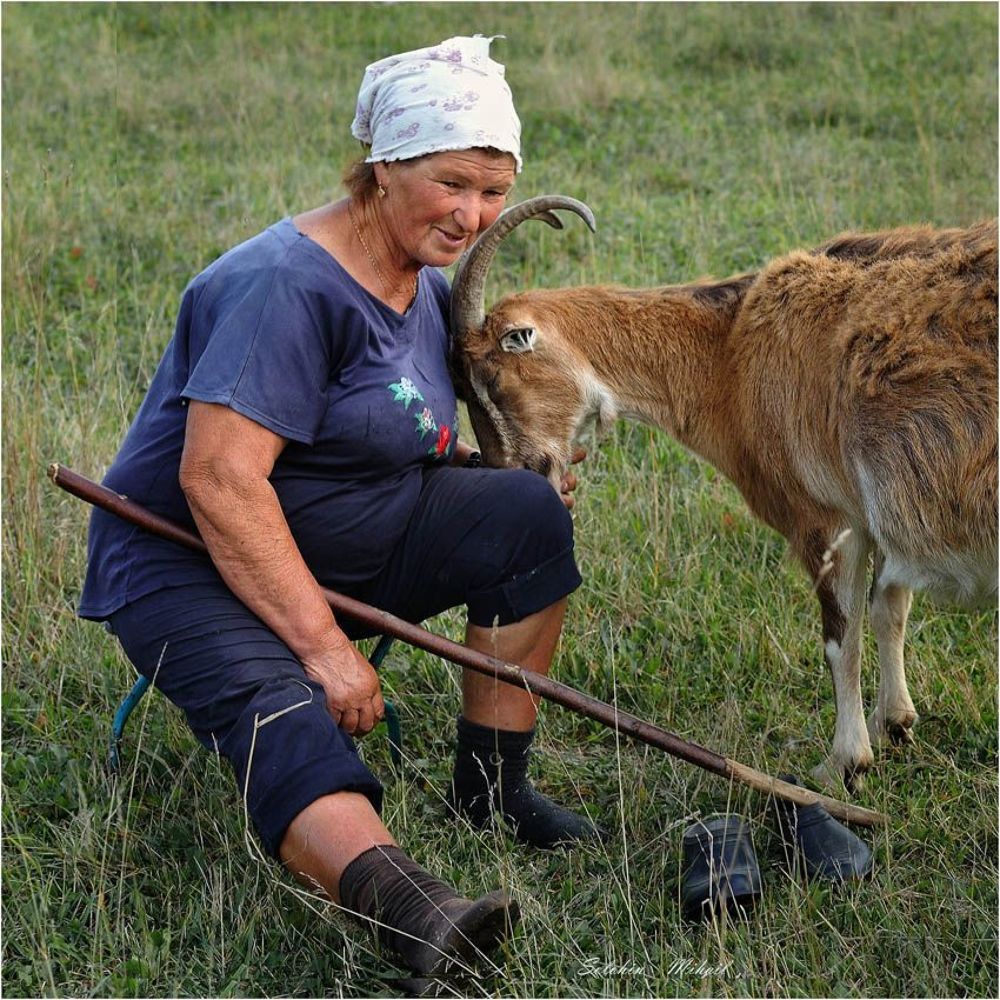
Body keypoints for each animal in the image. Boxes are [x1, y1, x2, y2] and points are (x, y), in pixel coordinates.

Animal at [449, 196, 998, 792]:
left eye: (491, 381)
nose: (514, 473)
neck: (729, 351)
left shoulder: (825, 520)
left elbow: (840, 637)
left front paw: (841, 764)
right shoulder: (871, 522)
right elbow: (888, 607)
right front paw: (893, 722)